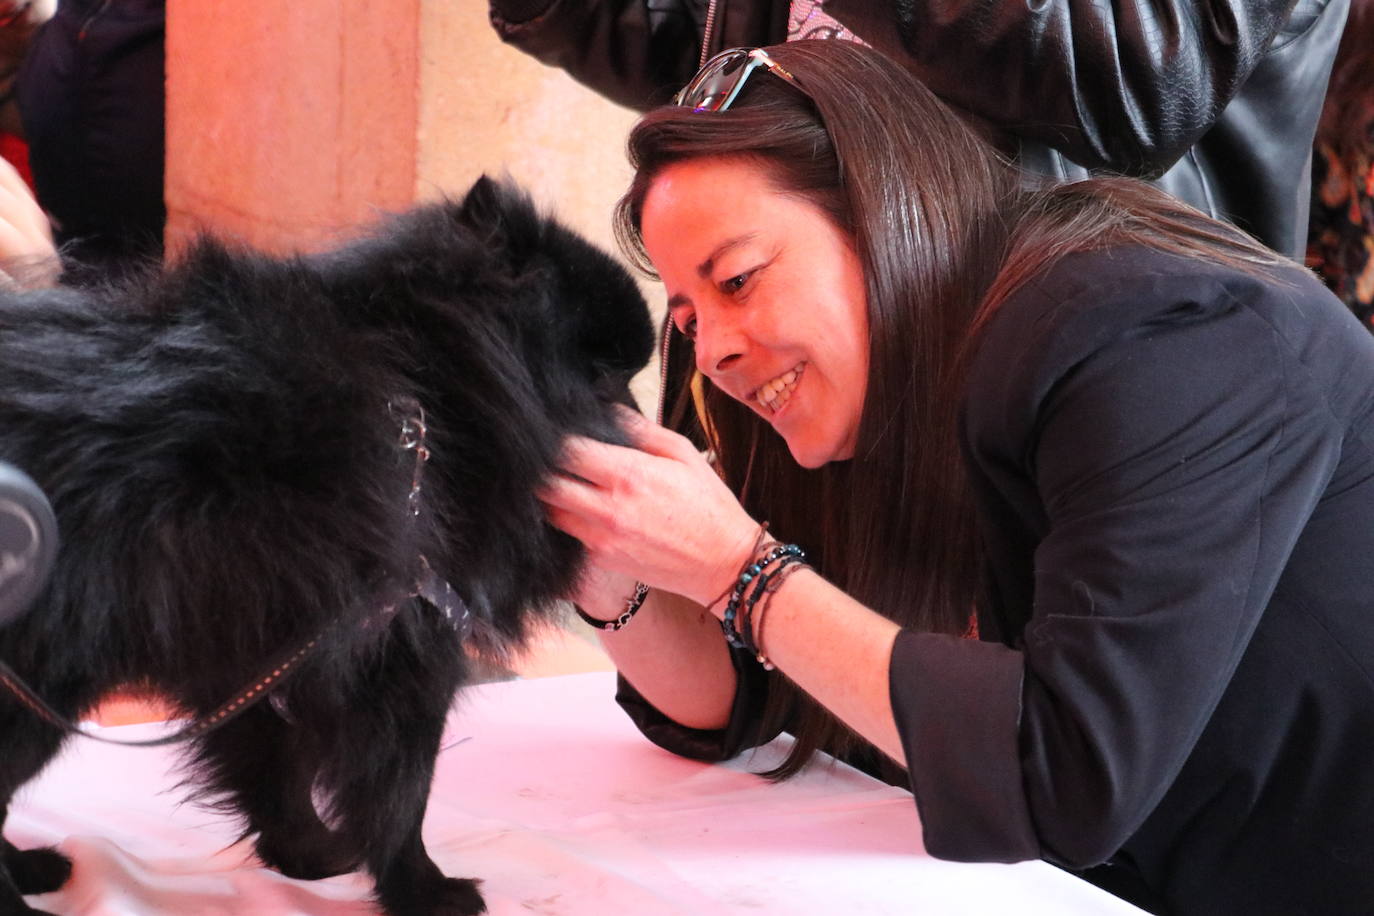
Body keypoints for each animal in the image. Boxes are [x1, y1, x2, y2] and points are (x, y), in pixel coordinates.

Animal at [0, 175, 659, 911]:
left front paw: (306, 853)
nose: (643, 413)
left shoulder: (259, 657)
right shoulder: (405, 651)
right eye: (606, 373)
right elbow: (400, 794)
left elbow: (275, 763)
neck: (433, 397)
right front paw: (422, 888)